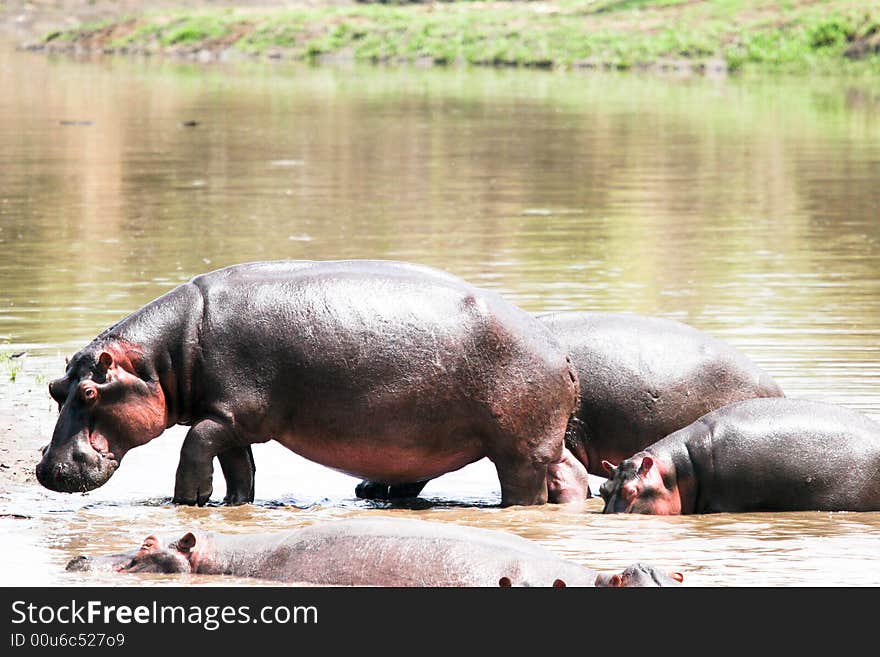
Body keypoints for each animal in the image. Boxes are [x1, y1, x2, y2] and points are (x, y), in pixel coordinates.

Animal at [37, 258, 580, 504]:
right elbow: (239, 468)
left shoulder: (230, 415)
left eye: (90, 391)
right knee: (568, 476)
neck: (162, 359)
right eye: (54, 390)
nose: (46, 470)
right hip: (540, 447)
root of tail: (562, 353)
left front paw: (188, 500)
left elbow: (193, 446)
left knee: (524, 494)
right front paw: (233, 504)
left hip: (517, 453)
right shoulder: (228, 418)